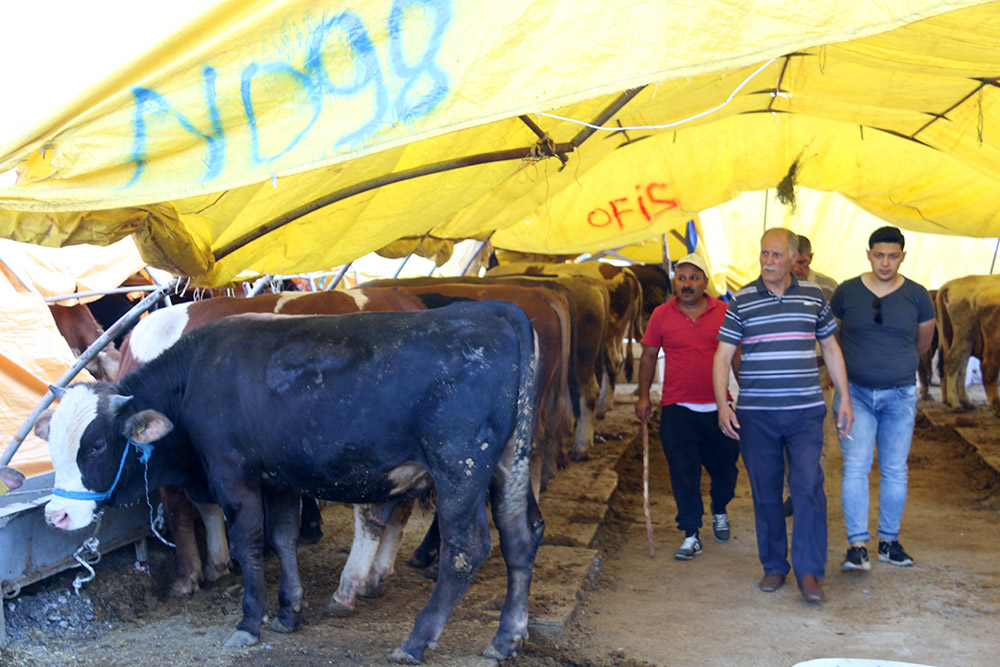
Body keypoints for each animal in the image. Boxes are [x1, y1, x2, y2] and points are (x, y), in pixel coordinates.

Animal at [37, 302, 540, 664]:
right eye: (53, 443)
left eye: (96, 445)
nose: (55, 515)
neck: (194, 377)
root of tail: (493, 310)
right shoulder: (277, 477)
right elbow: (282, 539)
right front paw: (287, 611)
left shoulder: (233, 471)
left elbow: (249, 542)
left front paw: (249, 622)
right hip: (509, 466)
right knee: (522, 537)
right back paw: (506, 638)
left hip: (460, 467)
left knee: (466, 548)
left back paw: (418, 639)